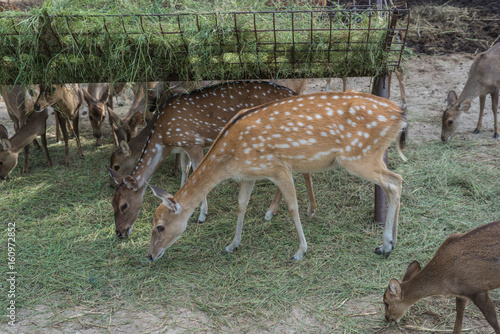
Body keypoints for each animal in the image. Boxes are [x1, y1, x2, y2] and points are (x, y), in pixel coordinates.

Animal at [108, 80, 316, 237]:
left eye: (124, 205)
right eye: (112, 203)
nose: (119, 233)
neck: (163, 138)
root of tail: (294, 94)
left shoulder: (193, 142)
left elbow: (195, 171)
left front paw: (202, 215)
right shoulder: (183, 146)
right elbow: (185, 170)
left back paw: (275, 211)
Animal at [146, 90, 408, 262]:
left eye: (160, 226)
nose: (150, 256)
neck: (231, 156)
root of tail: (401, 114)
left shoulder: (278, 167)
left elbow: (293, 207)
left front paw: (300, 251)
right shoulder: (249, 173)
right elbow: (241, 205)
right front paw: (232, 245)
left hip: (358, 155)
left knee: (394, 181)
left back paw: (386, 245)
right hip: (369, 154)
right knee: (396, 181)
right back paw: (390, 243)